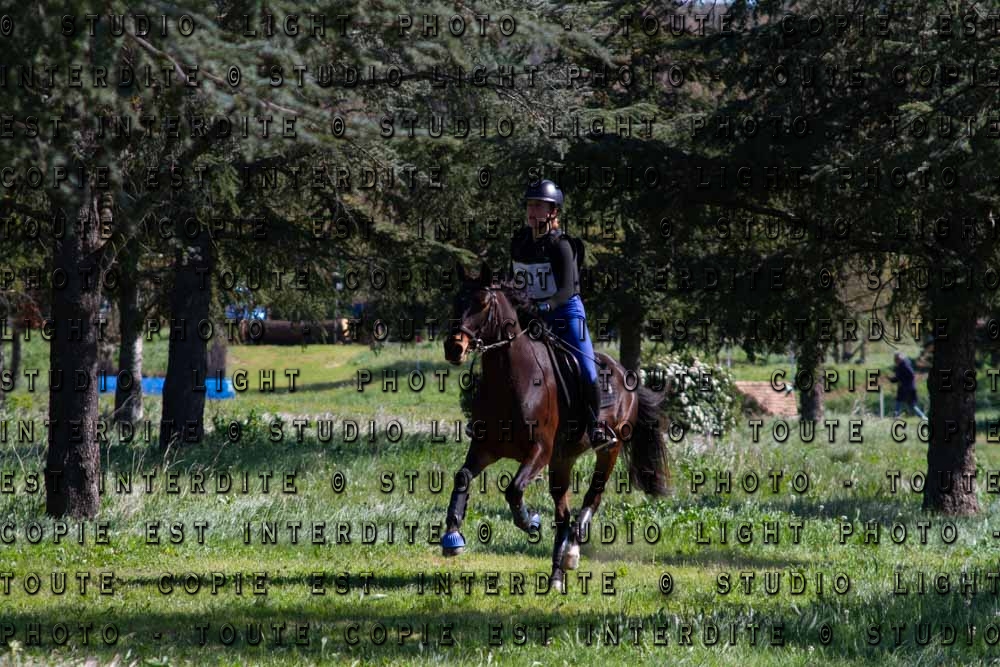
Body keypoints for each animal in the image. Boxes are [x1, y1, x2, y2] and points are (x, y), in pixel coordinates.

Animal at [441, 263, 672, 591]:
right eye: (456, 301)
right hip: (563, 460)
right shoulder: (486, 448)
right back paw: (556, 577)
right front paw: (452, 537)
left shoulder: (539, 450)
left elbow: (514, 489)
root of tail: (626, 375)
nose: (453, 348)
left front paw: (531, 522)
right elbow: (462, 477)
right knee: (563, 514)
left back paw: (572, 553)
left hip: (608, 450)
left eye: (483, 303)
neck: (511, 380)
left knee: (592, 498)